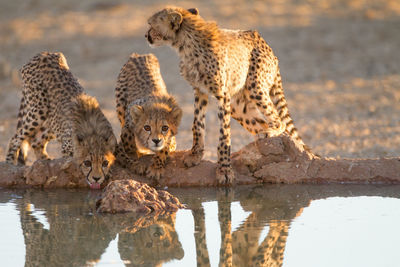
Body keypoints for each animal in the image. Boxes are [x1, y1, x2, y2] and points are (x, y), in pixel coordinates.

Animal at [5, 52, 116, 189]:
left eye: (105, 163)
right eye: (88, 163)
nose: (96, 178)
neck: (93, 132)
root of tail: (44, 53)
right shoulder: (67, 146)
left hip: (52, 121)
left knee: (36, 141)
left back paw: (45, 162)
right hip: (38, 110)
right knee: (16, 137)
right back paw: (9, 164)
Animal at [112, 52, 181, 182]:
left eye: (165, 128)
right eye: (147, 127)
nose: (156, 141)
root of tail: (139, 55)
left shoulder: (172, 141)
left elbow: (165, 148)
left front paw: (156, 167)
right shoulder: (127, 126)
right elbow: (126, 145)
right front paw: (135, 162)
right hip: (120, 107)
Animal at [145, 7, 310, 185]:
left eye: (151, 25)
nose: (146, 35)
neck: (185, 44)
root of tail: (263, 42)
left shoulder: (222, 95)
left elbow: (224, 133)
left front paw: (224, 169)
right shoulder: (200, 91)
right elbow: (197, 124)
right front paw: (195, 155)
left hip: (255, 87)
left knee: (279, 121)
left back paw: (270, 133)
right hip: (238, 107)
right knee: (261, 124)